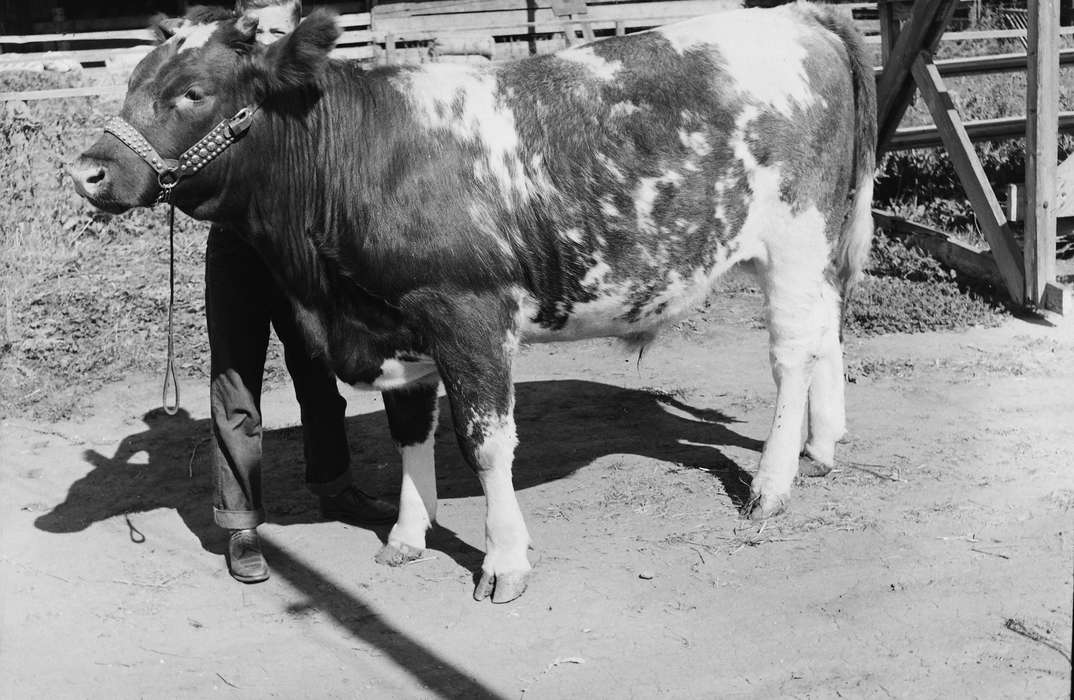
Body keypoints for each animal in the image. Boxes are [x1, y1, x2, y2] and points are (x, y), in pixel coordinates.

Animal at [69, 3, 877, 603]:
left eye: (192, 93)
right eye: (134, 79)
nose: (87, 171)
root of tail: (793, 15)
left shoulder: (467, 315)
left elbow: (485, 442)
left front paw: (505, 559)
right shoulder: (398, 324)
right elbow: (409, 432)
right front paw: (406, 534)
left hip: (795, 241)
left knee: (791, 355)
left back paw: (773, 483)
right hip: (814, 252)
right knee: (828, 331)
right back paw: (823, 446)